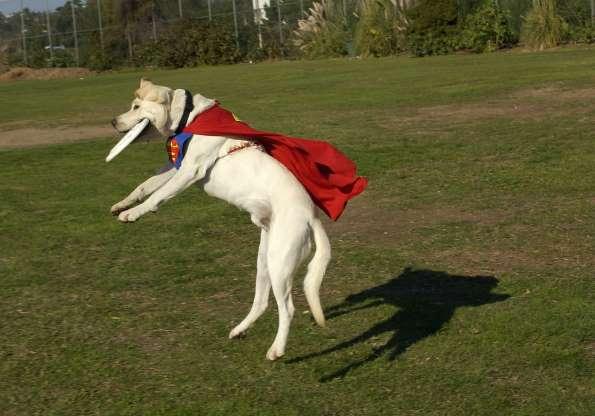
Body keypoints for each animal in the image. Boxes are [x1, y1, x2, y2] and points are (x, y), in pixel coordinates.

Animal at [110, 79, 330, 360]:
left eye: (136, 107)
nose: (113, 122)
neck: (188, 119)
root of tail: (311, 216)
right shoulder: (174, 167)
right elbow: (145, 186)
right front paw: (123, 204)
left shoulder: (188, 171)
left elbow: (157, 195)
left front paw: (133, 213)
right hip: (264, 260)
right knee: (262, 302)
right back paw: (239, 330)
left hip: (280, 262)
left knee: (287, 308)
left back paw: (276, 349)